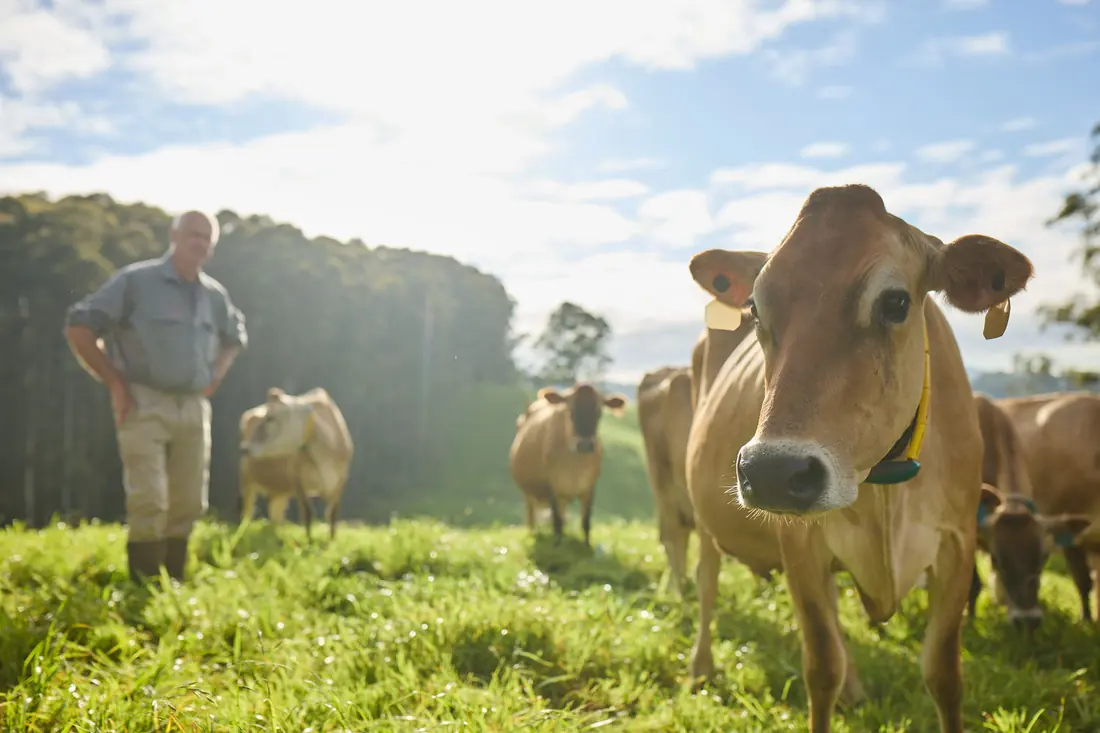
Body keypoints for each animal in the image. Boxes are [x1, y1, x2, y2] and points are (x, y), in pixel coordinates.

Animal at [238, 387, 355, 542]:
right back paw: (243, 531)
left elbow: (332, 513)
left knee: (275, 511)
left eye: (270, 418)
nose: (244, 448)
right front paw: (309, 542)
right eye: (266, 417)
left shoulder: (341, 480)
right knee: (247, 510)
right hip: (246, 478)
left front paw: (332, 540)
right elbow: (308, 512)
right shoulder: (297, 478)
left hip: (280, 488)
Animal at [508, 383, 628, 546]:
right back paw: (534, 533)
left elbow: (586, 522)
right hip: (528, 492)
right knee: (531, 513)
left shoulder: (590, 487)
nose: (585, 445)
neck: (574, 466)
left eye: (598, 413)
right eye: (570, 411)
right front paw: (557, 546)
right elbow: (557, 522)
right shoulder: (551, 487)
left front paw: (586, 546)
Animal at [685, 182, 1034, 733]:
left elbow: (944, 674)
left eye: (895, 302)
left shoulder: (957, 544)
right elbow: (821, 666)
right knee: (706, 580)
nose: (773, 473)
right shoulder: (800, 545)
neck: (884, 489)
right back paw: (701, 666)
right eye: (755, 309)